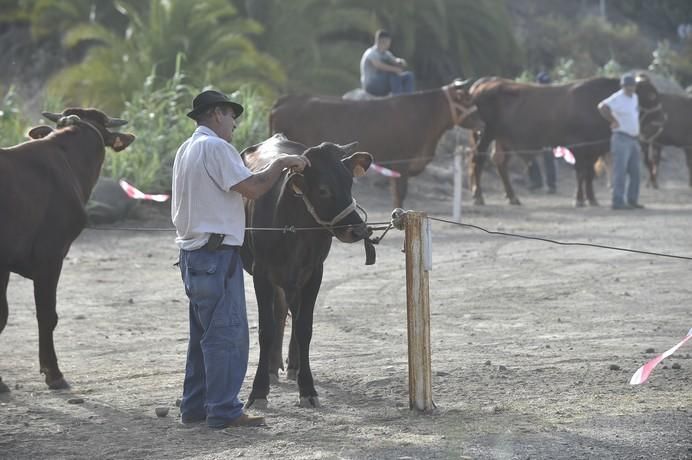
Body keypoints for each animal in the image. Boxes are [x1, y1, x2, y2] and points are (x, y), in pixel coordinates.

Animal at [468, 76, 664, 206]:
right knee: (478, 160)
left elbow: (589, 174)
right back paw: (478, 196)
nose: (663, 117)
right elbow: (581, 172)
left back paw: (513, 197)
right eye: (651, 96)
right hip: (485, 134)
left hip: (503, 139)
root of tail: (486, 82)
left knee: (500, 162)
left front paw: (592, 199)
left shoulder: (594, 148)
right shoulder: (578, 146)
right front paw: (579, 199)